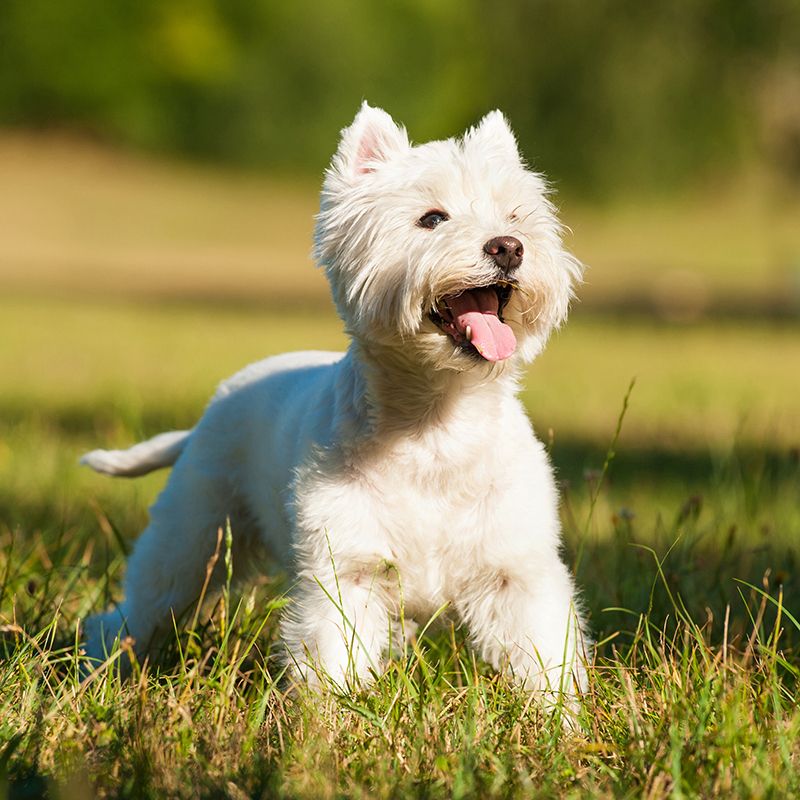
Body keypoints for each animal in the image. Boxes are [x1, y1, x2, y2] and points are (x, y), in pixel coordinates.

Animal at [83, 104, 588, 692]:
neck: (436, 424)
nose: (508, 246)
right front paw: (332, 714)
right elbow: (333, 660)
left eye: (516, 214)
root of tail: (215, 406)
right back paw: (100, 669)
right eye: (432, 218)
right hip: (193, 536)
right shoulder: (345, 571)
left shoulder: (516, 572)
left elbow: (545, 657)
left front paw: (559, 713)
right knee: (136, 612)